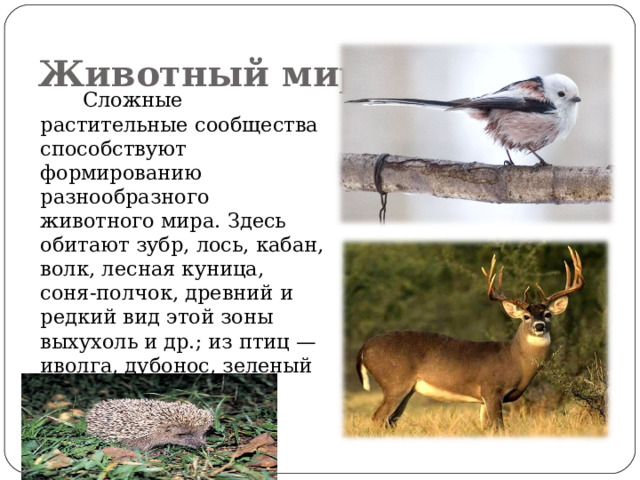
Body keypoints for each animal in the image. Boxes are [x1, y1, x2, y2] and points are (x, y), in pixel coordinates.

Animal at [356, 246, 584, 430]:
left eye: (547, 314)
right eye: (526, 316)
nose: (539, 326)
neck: (516, 360)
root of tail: (364, 348)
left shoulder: (484, 400)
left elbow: (487, 429)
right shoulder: (492, 389)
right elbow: (499, 428)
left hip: (406, 389)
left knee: (390, 421)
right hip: (394, 383)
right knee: (378, 418)